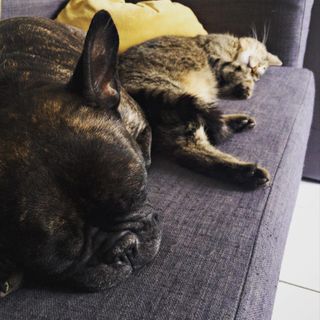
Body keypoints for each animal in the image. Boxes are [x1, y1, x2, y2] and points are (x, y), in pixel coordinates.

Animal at [118, 33, 282, 188]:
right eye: (262, 62)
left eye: (261, 70)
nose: (256, 71)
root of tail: (129, 89)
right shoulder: (214, 58)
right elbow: (235, 68)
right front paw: (247, 82)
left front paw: (243, 87)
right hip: (179, 98)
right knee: (195, 144)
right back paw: (250, 172)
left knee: (190, 148)